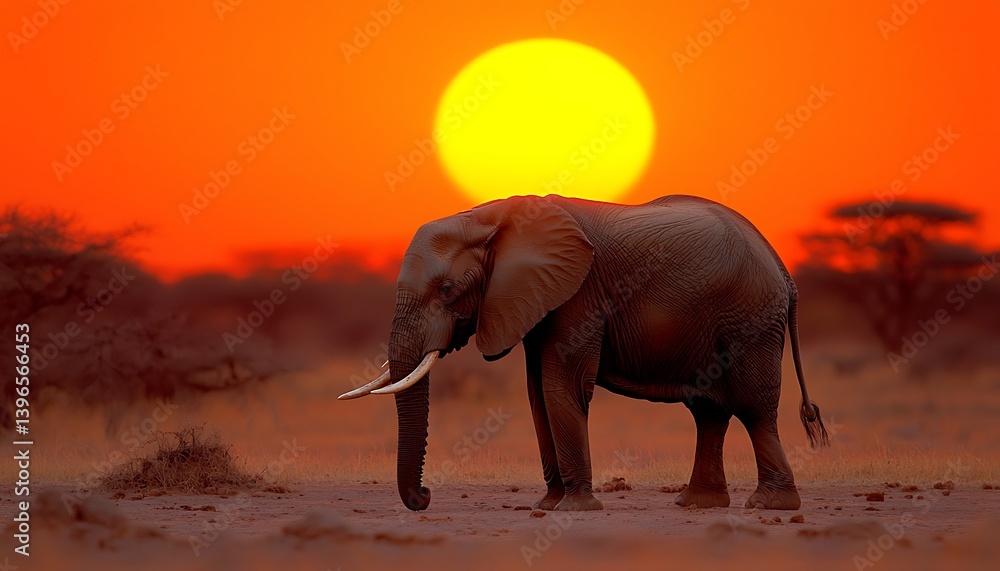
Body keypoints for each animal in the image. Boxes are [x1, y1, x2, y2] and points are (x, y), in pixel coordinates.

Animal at [341, 194, 829, 512]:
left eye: (447, 290)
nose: (424, 498)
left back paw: (769, 506)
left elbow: (563, 386)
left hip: (749, 318)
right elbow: (537, 393)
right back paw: (698, 504)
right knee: (708, 410)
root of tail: (784, 271)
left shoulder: (578, 295)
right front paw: (546, 505)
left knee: (753, 407)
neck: (491, 217)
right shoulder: (533, 298)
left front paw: (573, 509)